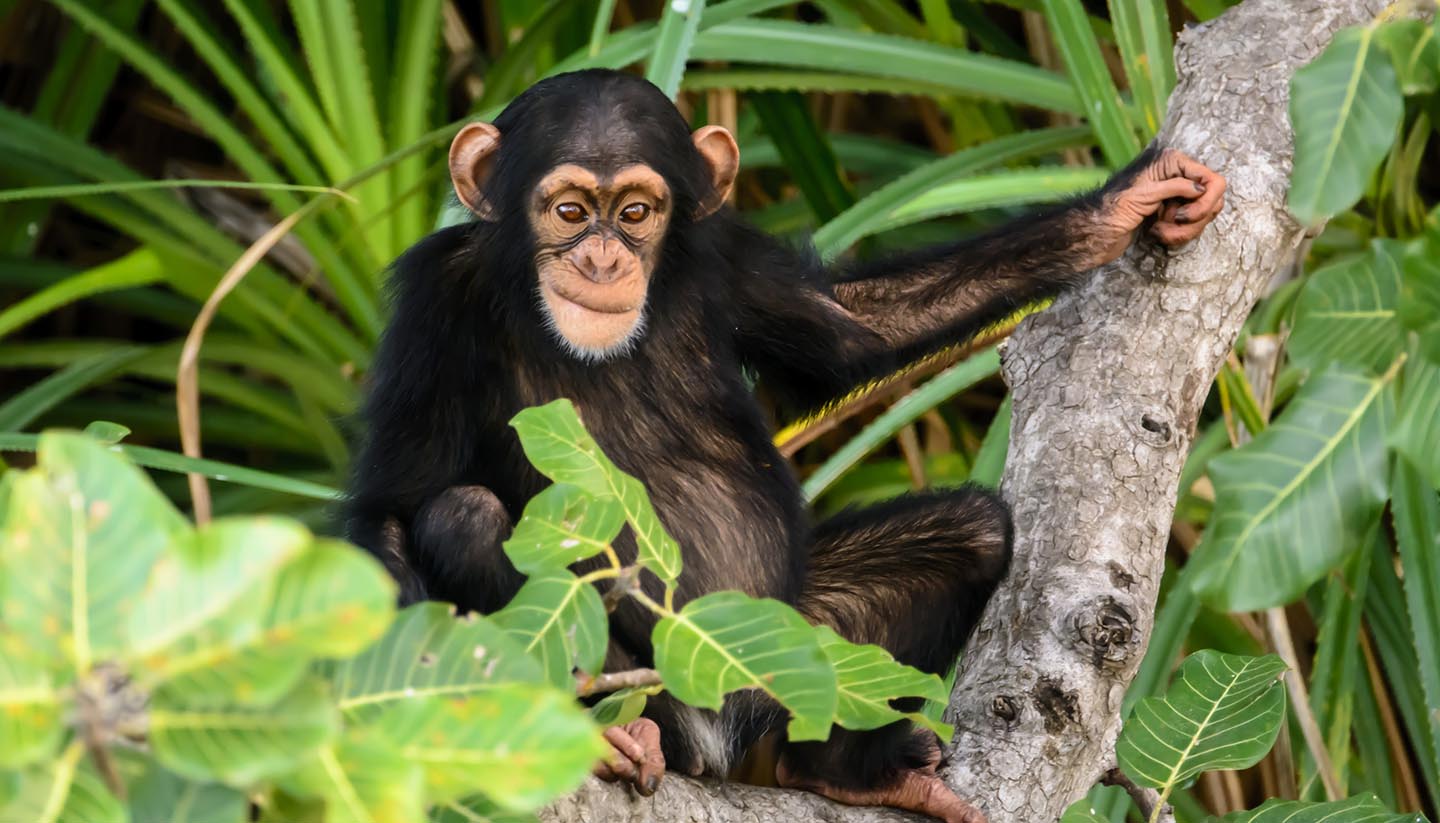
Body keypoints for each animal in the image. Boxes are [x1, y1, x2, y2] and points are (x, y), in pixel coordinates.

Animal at [342, 67, 1221, 817]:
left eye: (636, 212)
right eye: (566, 211)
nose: (602, 257)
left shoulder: (730, 257)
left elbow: (854, 330)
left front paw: (1120, 208)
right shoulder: (433, 302)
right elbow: (393, 502)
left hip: (788, 654)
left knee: (970, 534)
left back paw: (842, 768)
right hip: (666, 682)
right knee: (463, 517)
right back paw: (615, 729)